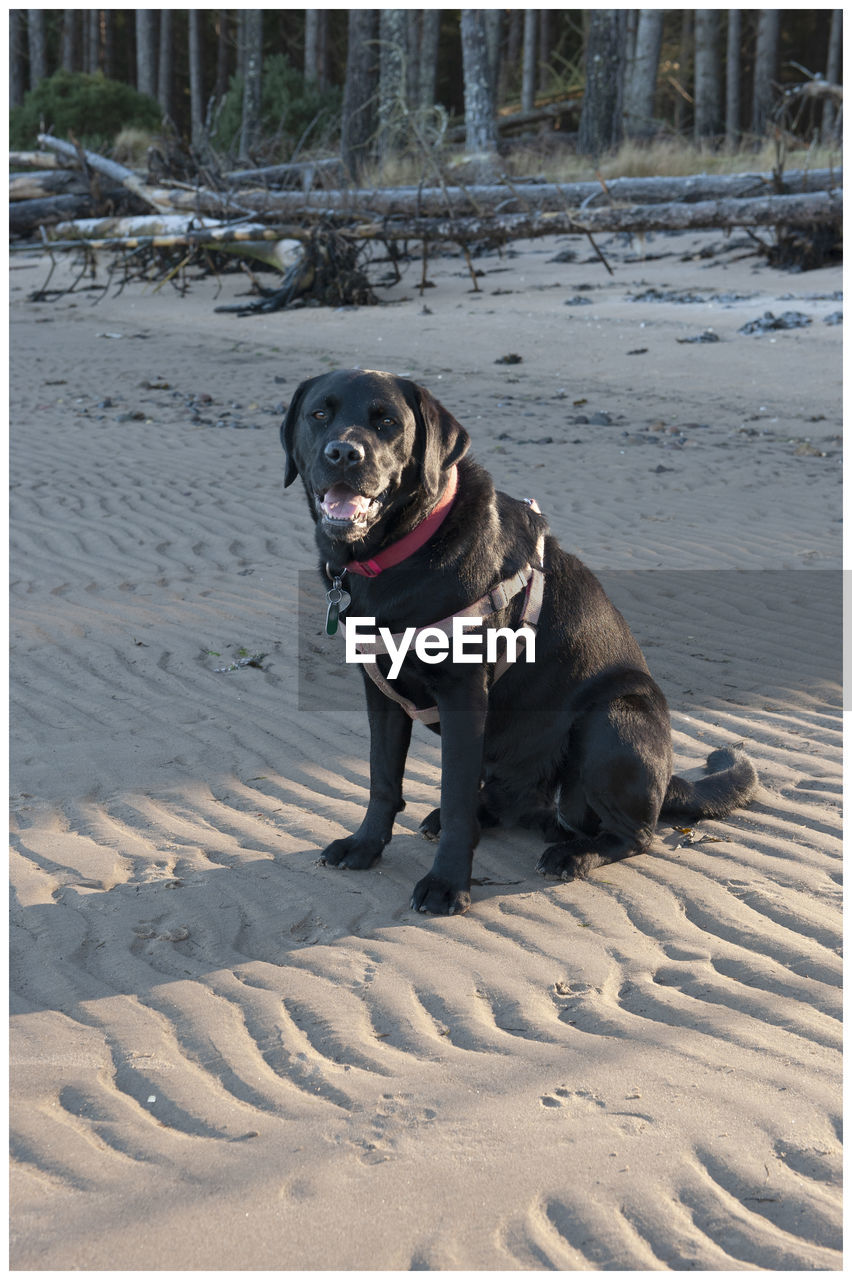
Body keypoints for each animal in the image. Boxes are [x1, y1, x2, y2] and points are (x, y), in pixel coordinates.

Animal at [281, 366, 752, 916]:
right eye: (320, 414)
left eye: (387, 422)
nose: (343, 453)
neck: (398, 553)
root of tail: (668, 781)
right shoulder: (380, 691)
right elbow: (382, 778)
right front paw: (365, 846)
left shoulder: (464, 695)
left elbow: (455, 792)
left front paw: (446, 883)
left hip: (612, 718)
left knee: (635, 834)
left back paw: (573, 855)